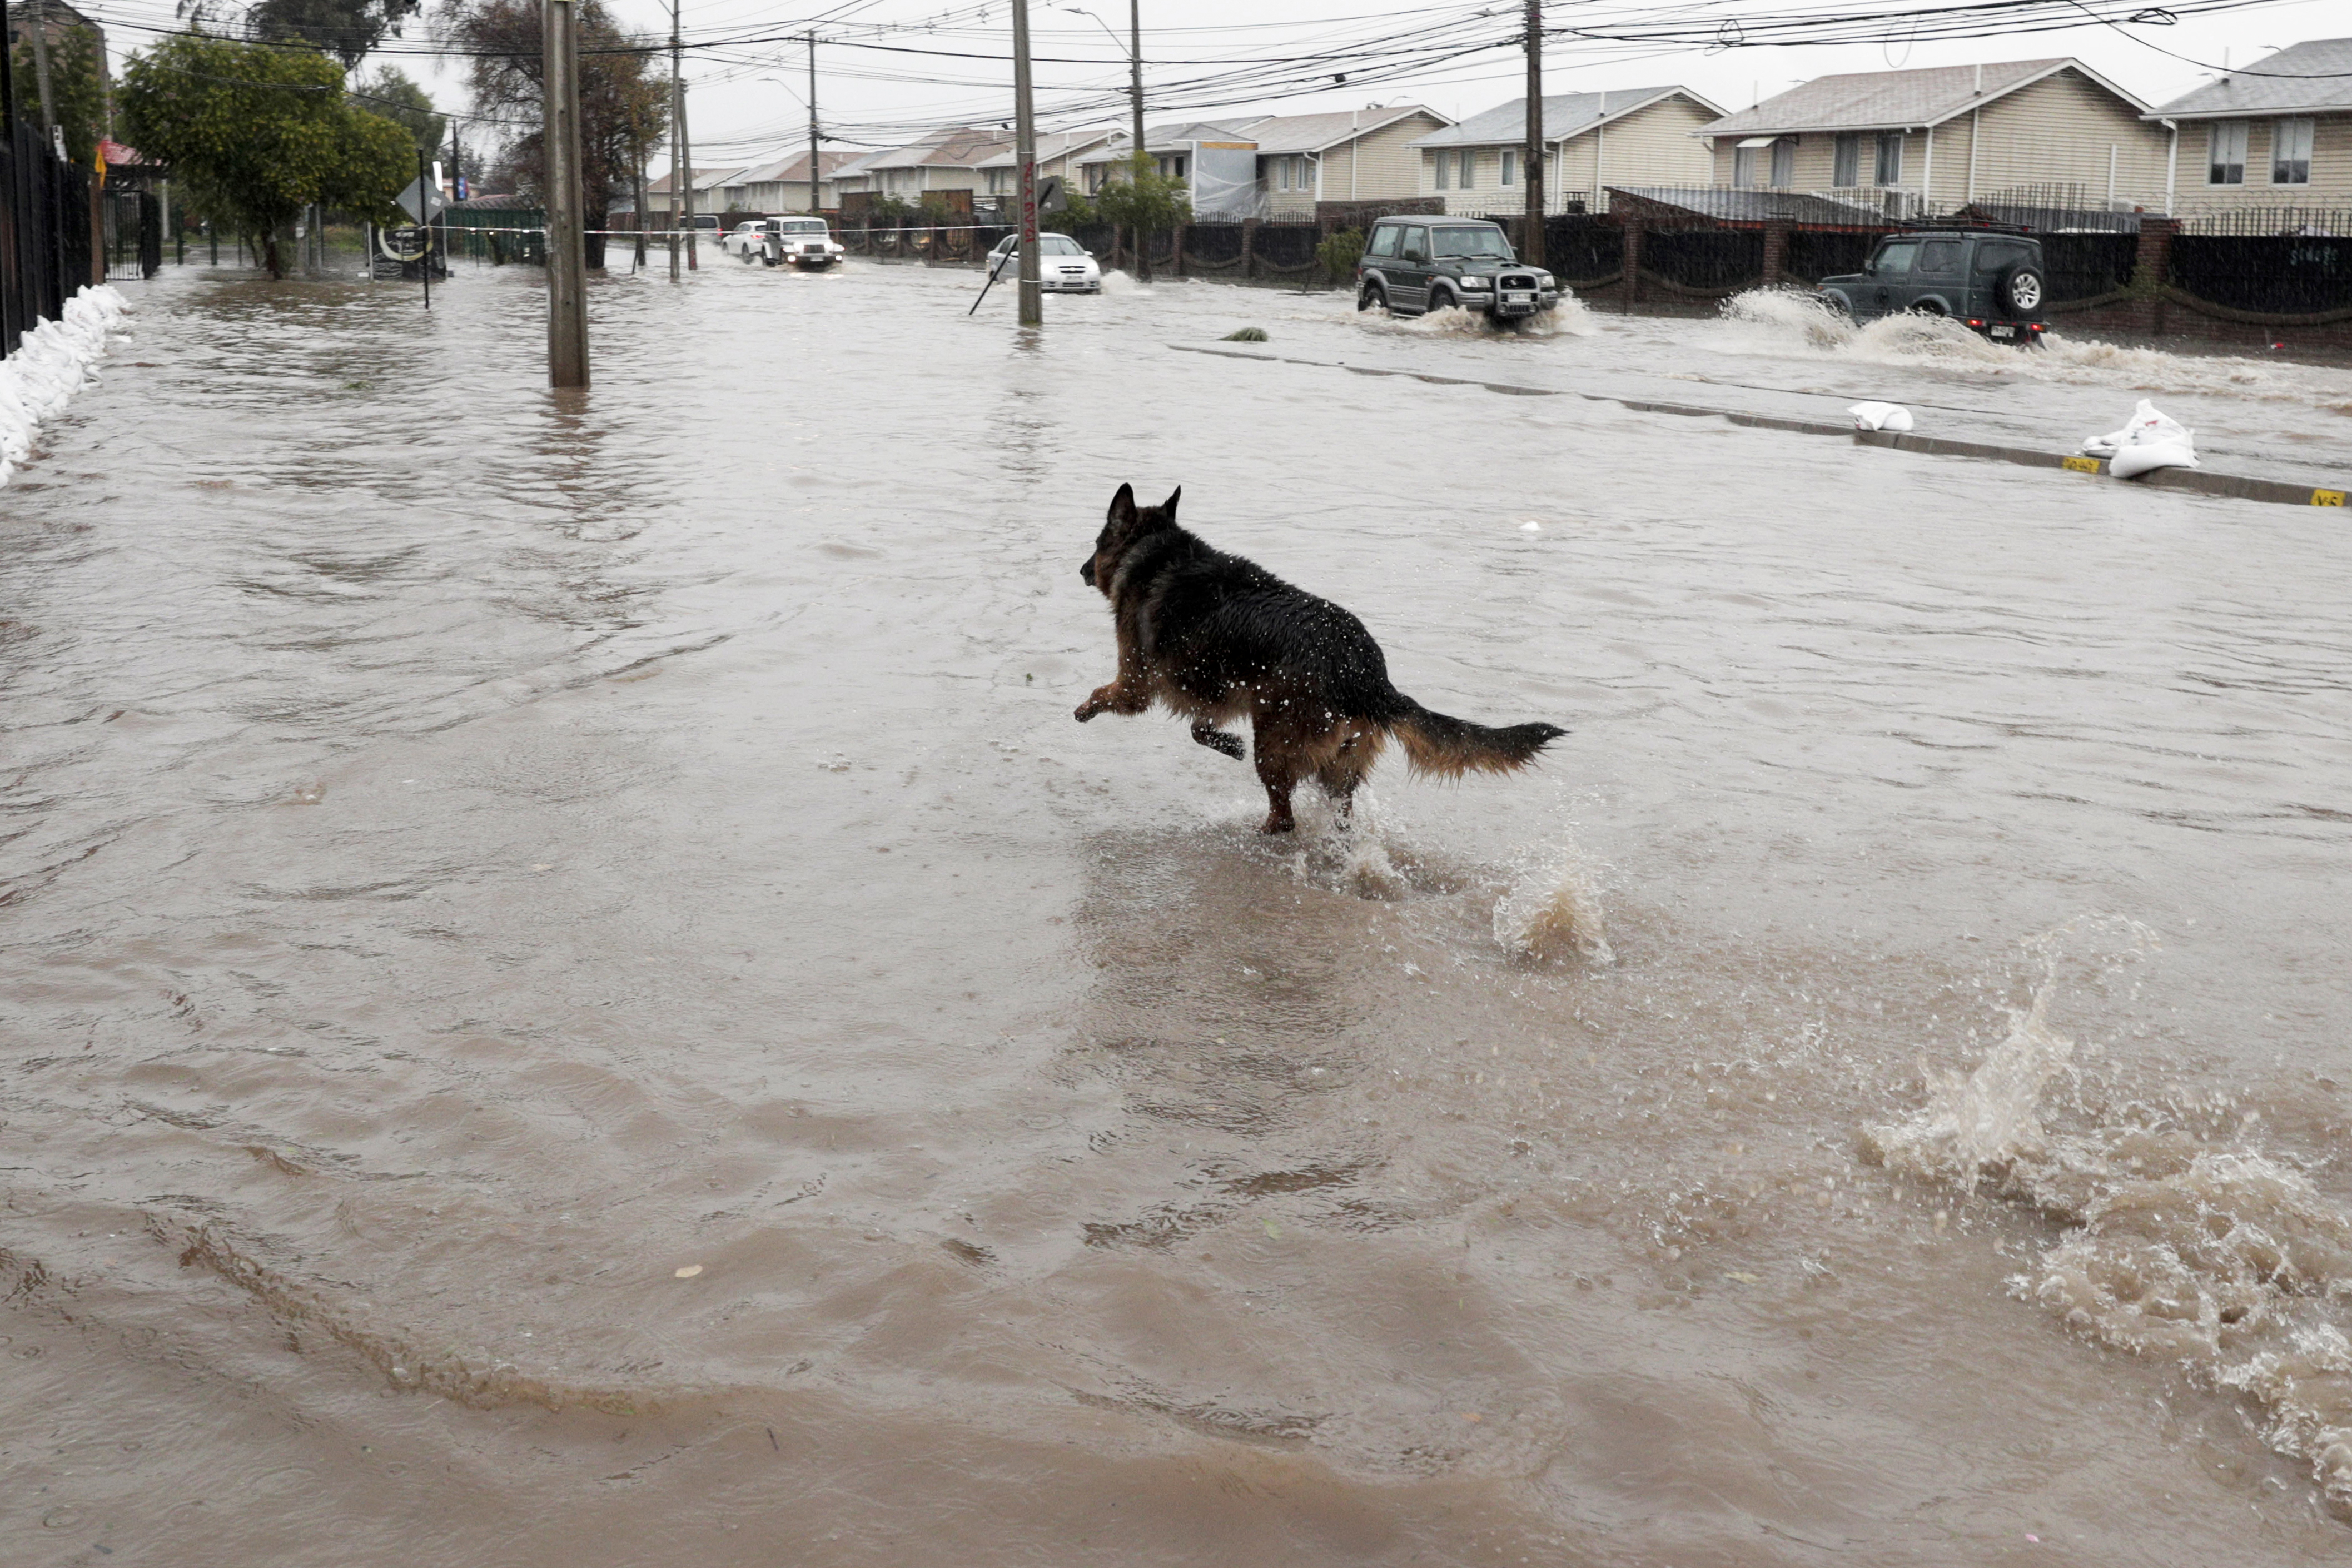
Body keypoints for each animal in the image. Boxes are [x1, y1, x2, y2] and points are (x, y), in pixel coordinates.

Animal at [1077, 484, 1562, 832]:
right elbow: (1201, 728)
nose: (1082, 570)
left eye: (1098, 543)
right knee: (1340, 816)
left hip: (1274, 745)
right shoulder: (1219, 690)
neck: (1158, 554)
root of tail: (1368, 676)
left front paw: (1083, 709)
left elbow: (1106, 694)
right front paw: (1227, 744)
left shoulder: (1137, 682)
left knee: (1284, 816)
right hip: (1336, 763)